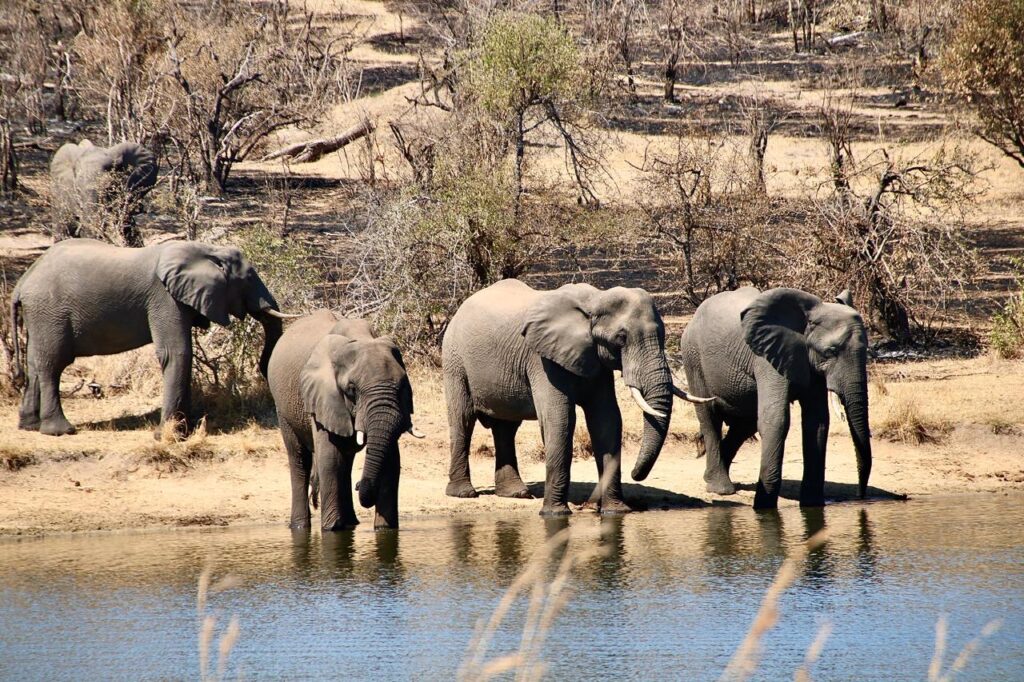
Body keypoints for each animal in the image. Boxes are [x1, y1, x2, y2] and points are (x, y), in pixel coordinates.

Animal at [11, 238, 291, 436]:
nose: (263, 370)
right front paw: (169, 436)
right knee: (53, 364)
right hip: (49, 311)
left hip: (40, 316)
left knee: (35, 363)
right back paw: (60, 431)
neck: (207, 249)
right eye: (248, 279)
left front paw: (185, 429)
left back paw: (29, 425)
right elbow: (176, 353)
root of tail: (22, 283)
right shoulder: (164, 298)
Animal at [267, 311, 421, 531]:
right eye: (352, 389)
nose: (359, 485)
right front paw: (332, 529)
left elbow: (392, 460)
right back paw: (300, 526)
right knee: (299, 459)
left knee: (346, 462)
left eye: (402, 385)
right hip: (282, 408)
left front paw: (384, 529)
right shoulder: (323, 398)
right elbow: (330, 459)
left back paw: (351, 523)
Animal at [442, 279, 712, 516]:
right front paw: (555, 515)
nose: (636, 474)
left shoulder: (596, 360)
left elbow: (606, 419)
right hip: (454, 358)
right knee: (463, 420)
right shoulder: (541, 358)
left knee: (506, 428)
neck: (595, 299)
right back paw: (463, 493)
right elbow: (560, 419)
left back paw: (516, 494)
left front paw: (616, 511)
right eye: (621, 338)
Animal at [680, 286, 872, 509]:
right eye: (830, 351)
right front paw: (763, 508)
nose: (860, 496)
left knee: (745, 425)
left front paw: (812, 506)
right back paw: (721, 489)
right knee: (710, 418)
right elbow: (776, 419)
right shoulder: (767, 358)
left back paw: (713, 478)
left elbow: (817, 422)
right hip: (693, 357)